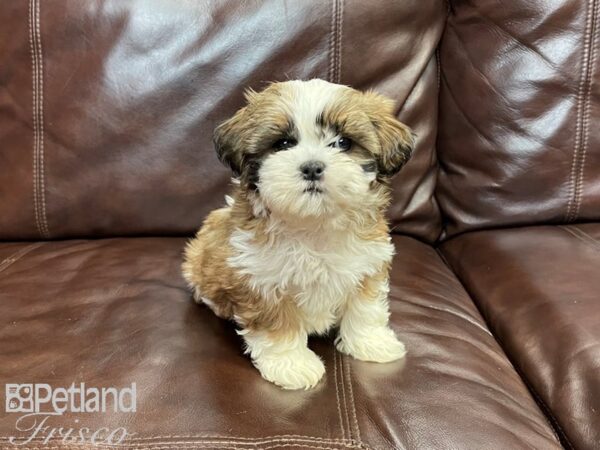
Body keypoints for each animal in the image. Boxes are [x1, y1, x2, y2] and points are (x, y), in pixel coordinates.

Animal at [183, 79, 414, 388]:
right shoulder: (261, 279)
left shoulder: (369, 263)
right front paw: (291, 364)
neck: (313, 224)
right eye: (283, 143)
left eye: (343, 143)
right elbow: (277, 326)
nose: (312, 167)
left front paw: (372, 342)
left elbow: (366, 308)